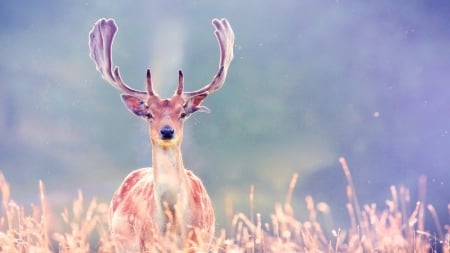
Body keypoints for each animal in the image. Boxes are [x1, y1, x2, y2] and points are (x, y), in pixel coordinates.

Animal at [89, 17, 236, 251]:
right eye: (149, 113)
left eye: (182, 113)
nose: (167, 130)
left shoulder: (200, 242)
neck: (173, 225)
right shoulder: (147, 244)